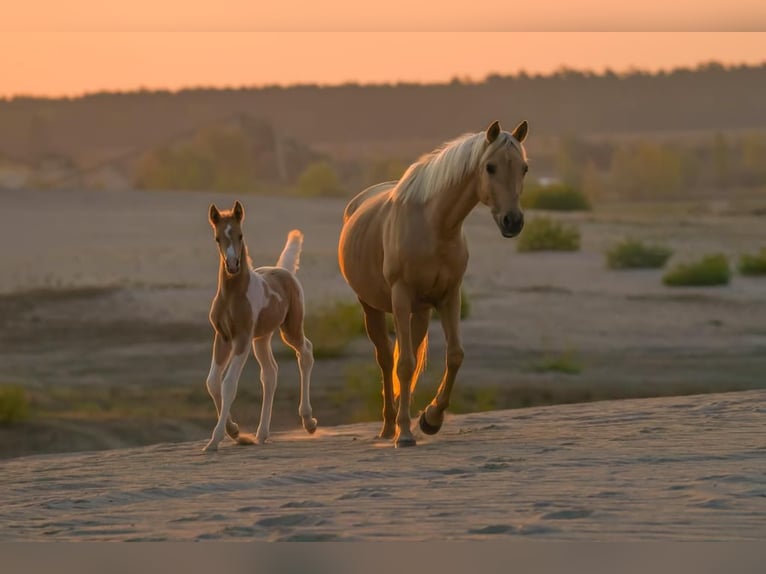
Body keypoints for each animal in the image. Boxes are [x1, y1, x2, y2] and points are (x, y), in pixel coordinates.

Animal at [204, 200, 318, 452]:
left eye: (240, 234)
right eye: (217, 238)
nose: (233, 265)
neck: (233, 294)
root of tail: (285, 271)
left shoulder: (242, 339)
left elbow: (228, 384)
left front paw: (215, 439)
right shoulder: (223, 338)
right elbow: (213, 382)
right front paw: (234, 431)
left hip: (290, 329)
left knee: (305, 351)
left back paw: (308, 420)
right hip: (262, 339)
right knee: (270, 374)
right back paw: (262, 433)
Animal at [340, 119, 532, 448]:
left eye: (524, 168)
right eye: (490, 167)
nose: (513, 221)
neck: (434, 226)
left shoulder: (449, 296)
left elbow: (453, 356)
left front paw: (431, 419)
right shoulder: (401, 296)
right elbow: (403, 364)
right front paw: (405, 434)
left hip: (420, 312)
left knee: (409, 356)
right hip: (372, 308)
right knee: (386, 359)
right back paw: (389, 426)